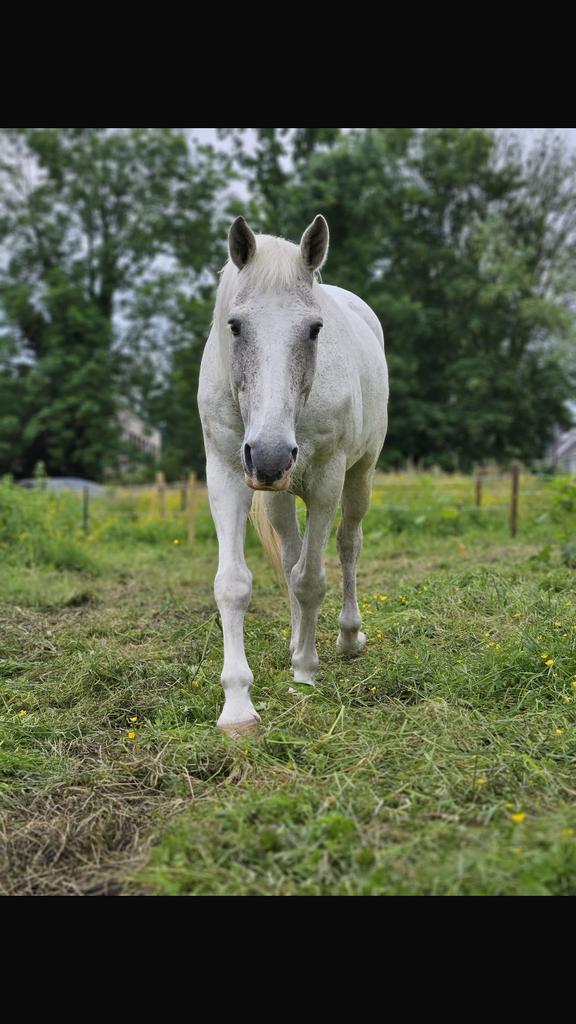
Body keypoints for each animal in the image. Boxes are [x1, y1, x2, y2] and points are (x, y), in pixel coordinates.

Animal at [198, 215, 389, 733]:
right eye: (235, 325)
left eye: (314, 329)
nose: (269, 455)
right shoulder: (227, 472)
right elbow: (235, 584)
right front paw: (237, 705)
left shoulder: (327, 478)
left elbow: (312, 579)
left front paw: (305, 671)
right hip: (279, 495)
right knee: (290, 557)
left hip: (359, 476)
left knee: (346, 546)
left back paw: (346, 638)